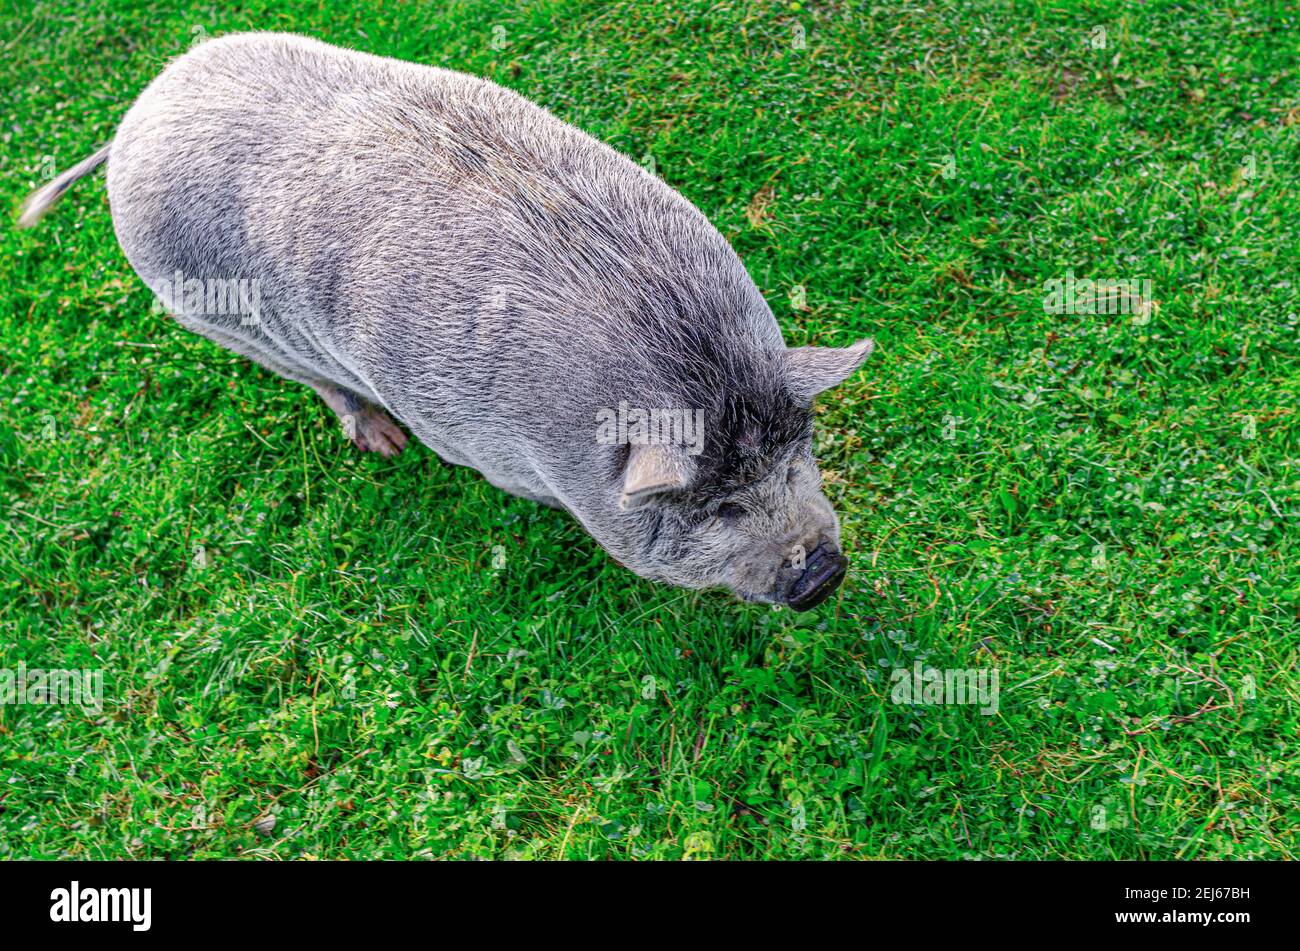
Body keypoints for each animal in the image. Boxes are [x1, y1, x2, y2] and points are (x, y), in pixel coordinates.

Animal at [17, 31, 873, 608]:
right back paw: (381, 442)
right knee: (313, 381)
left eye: (795, 459)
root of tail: (128, 126)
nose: (823, 571)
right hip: (211, 317)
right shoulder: (470, 435)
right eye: (720, 508)